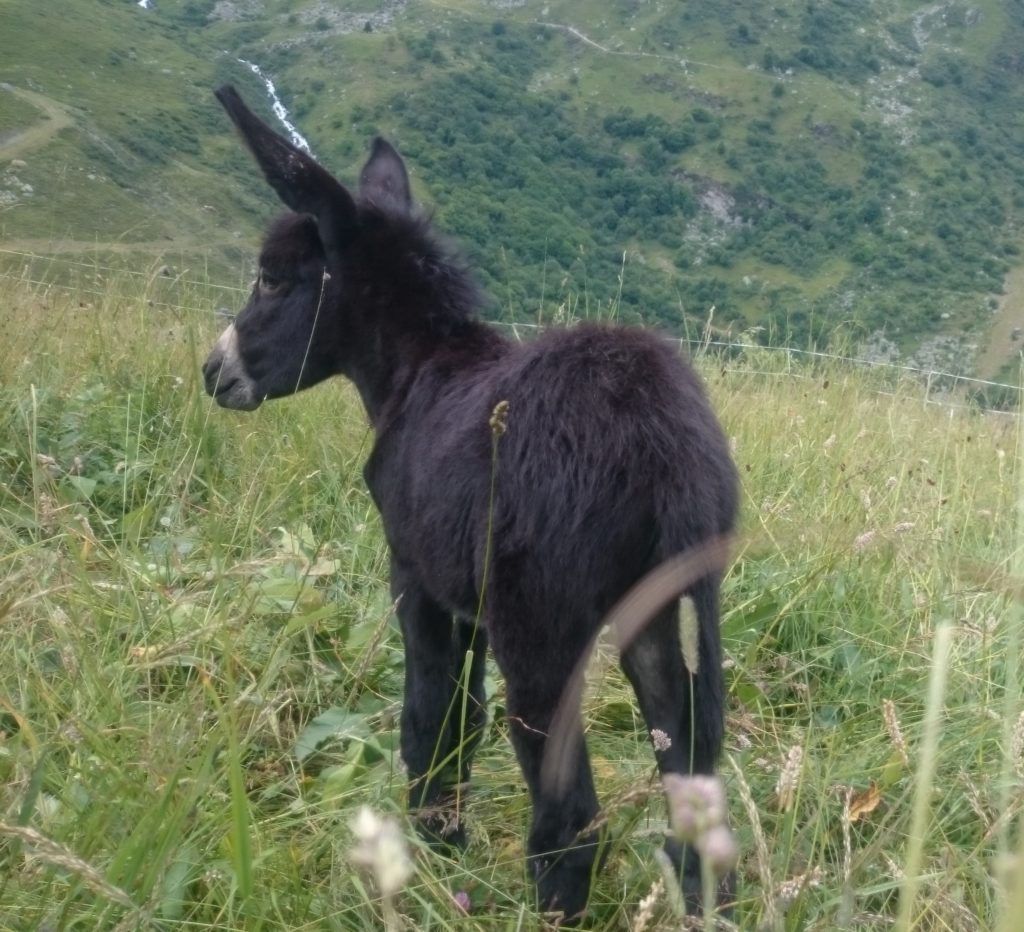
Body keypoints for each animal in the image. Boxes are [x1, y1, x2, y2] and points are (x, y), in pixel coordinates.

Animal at [203, 87, 741, 925]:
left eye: (271, 278)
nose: (213, 371)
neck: (420, 368)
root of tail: (665, 450)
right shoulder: (471, 599)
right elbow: (466, 717)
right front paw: (443, 838)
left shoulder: (417, 578)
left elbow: (429, 714)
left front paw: (431, 845)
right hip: (661, 621)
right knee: (692, 794)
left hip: (545, 635)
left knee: (570, 817)